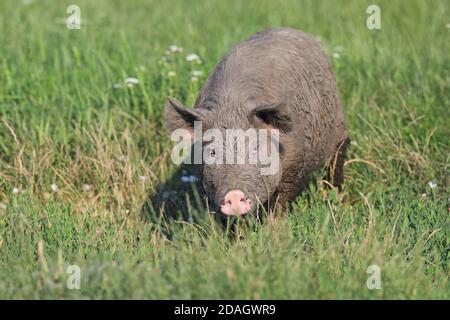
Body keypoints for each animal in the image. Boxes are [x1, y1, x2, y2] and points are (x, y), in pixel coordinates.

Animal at [163, 28, 350, 218]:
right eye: (213, 152)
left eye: (256, 149)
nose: (234, 194)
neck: (232, 105)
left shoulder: (295, 163)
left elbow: (280, 200)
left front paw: (275, 225)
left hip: (339, 129)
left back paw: (338, 202)